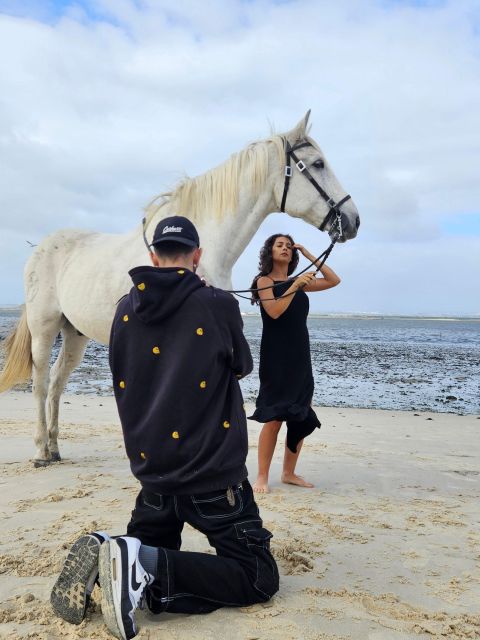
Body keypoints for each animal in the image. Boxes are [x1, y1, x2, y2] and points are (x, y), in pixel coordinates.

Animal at [0, 112, 358, 468]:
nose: (352, 220)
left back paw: (55, 448)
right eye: (318, 164)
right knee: (41, 383)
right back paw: (40, 452)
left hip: (75, 334)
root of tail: (41, 247)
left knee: (58, 382)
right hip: (44, 328)